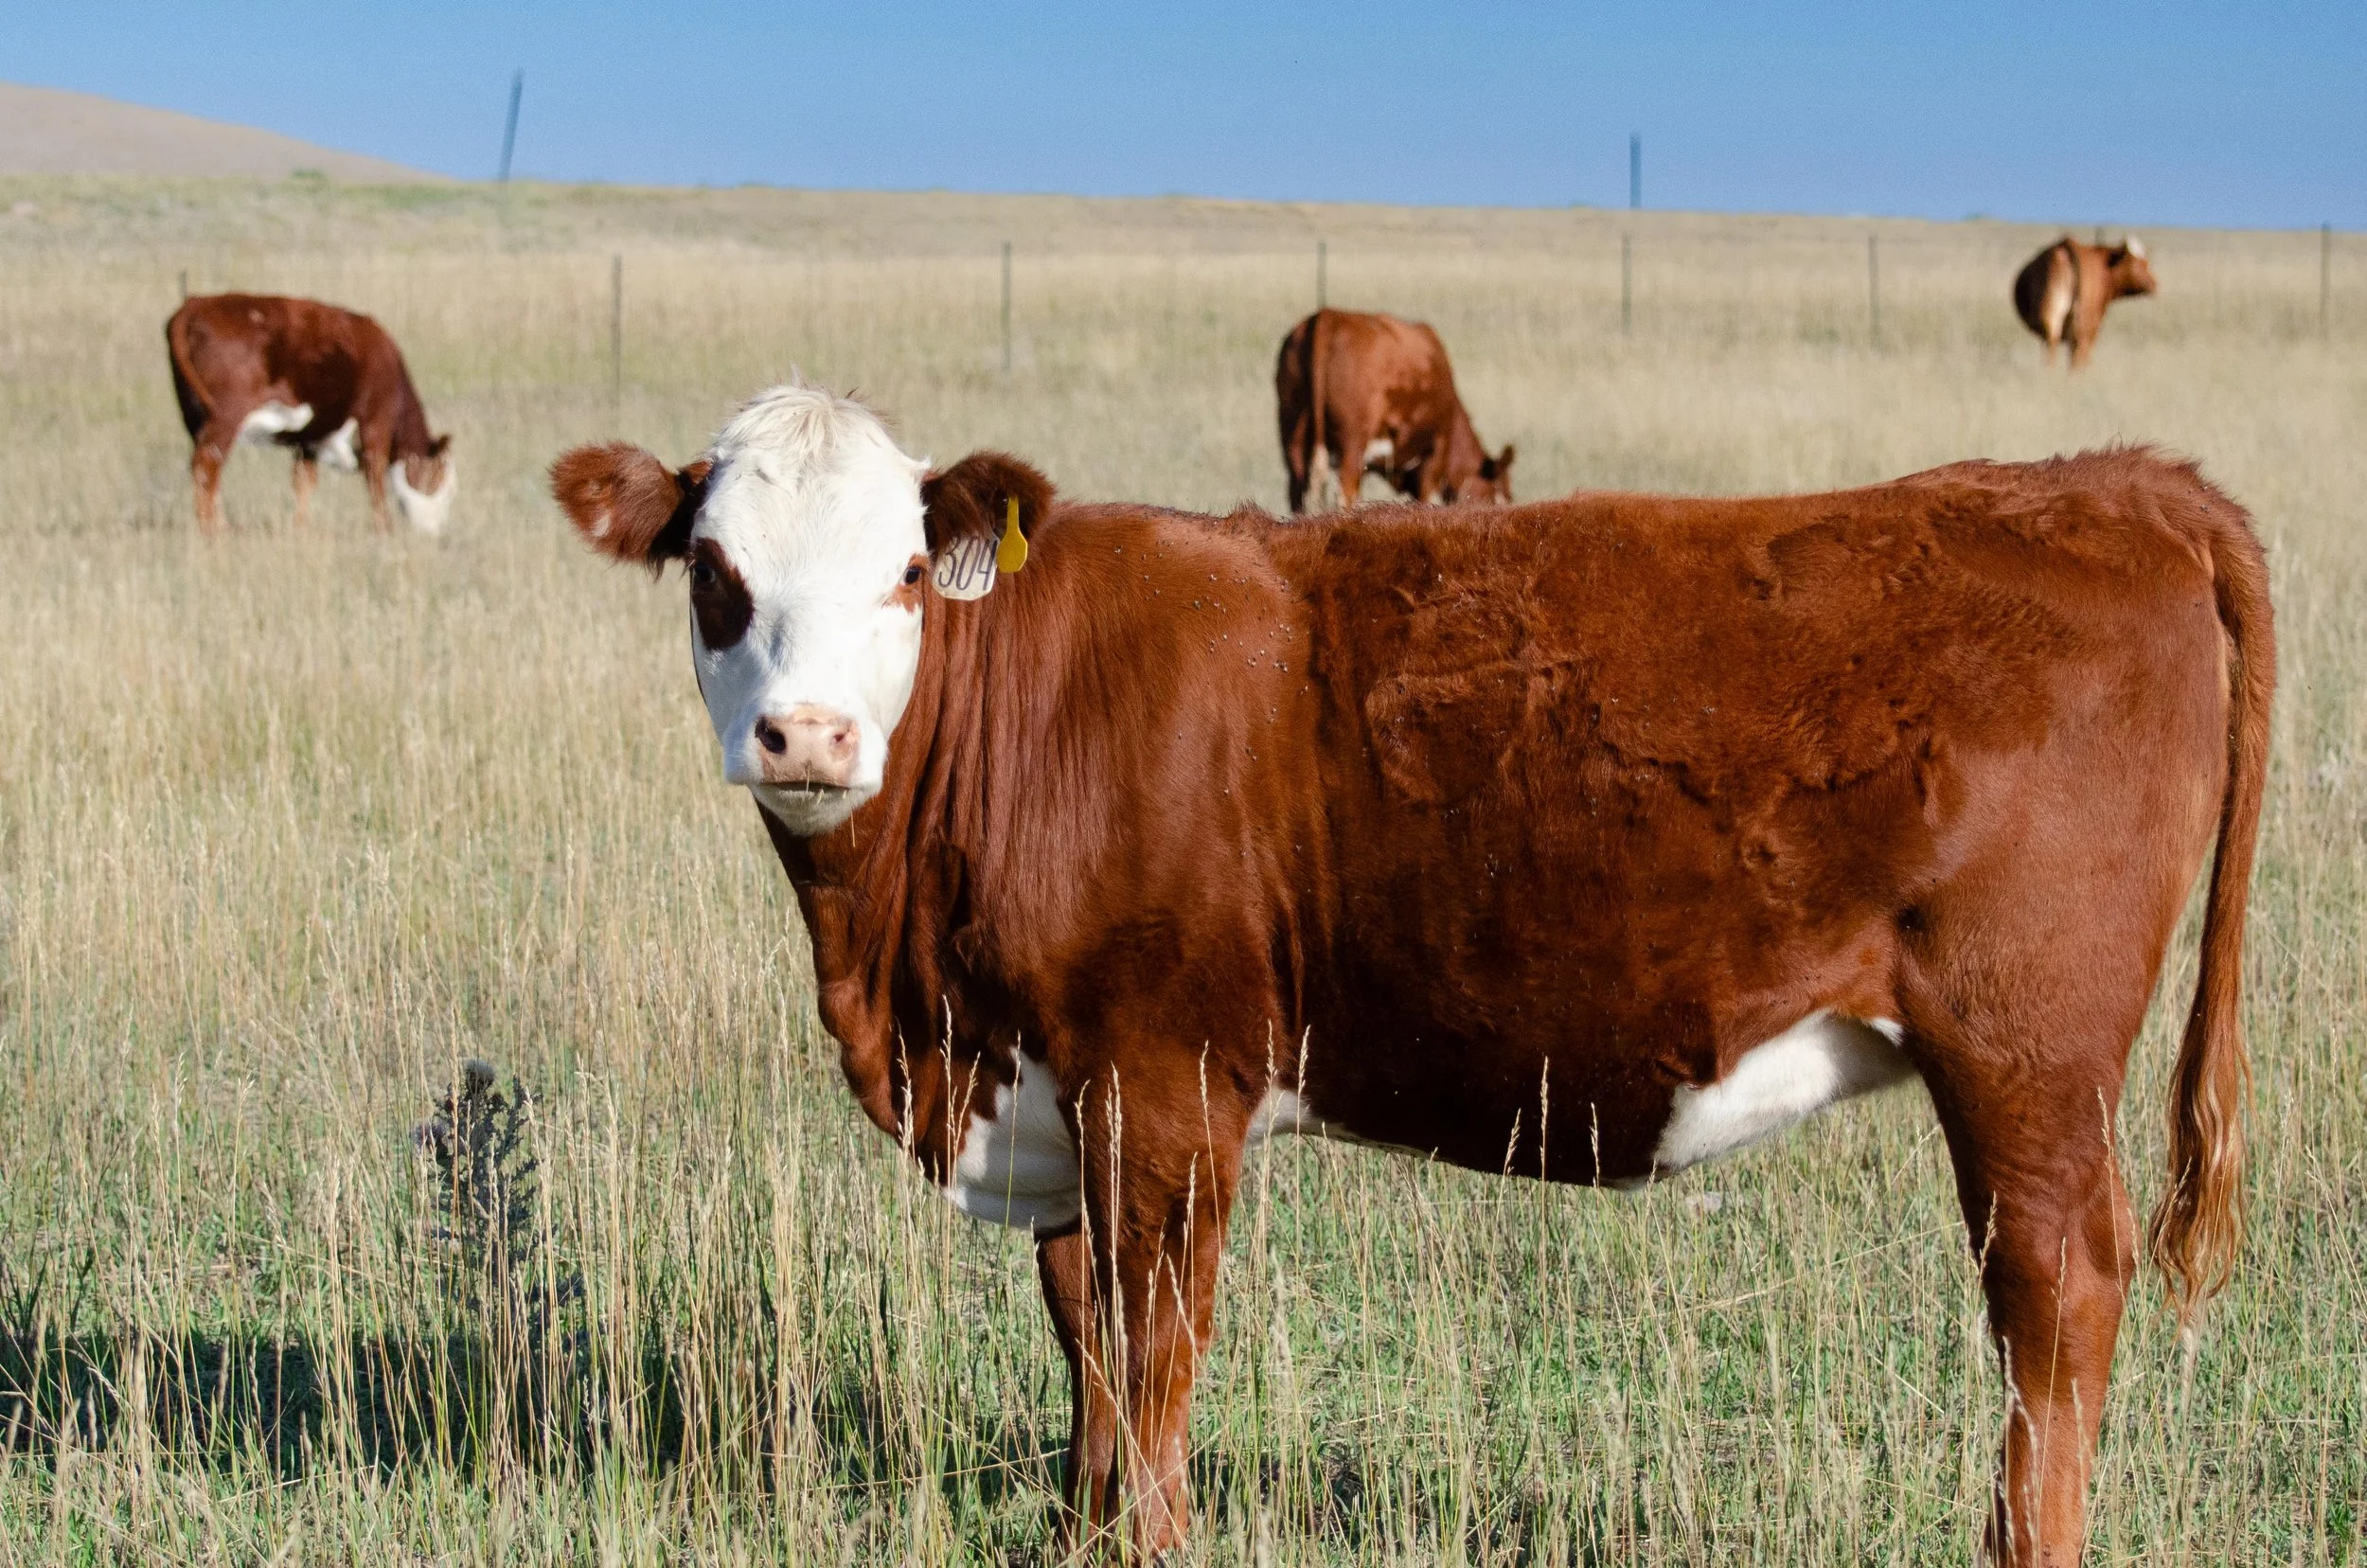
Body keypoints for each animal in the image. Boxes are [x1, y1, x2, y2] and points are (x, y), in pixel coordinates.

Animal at [165, 294, 456, 534]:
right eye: (439, 479)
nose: (438, 529)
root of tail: (197, 303)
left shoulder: (310, 440)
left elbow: (303, 483)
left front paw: (301, 526)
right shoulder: (375, 423)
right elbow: (375, 480)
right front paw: (385, 528)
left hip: (196, 419)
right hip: (226, 418)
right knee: (207, 465)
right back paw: (216, 528)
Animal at [553, 386, 2271, 1567]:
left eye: (908, 570)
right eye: (712, 573)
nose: (809, 738)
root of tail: (2117, 484)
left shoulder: (1165, 1082)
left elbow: (1155, 1336)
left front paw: (1146, 1535)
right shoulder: (1065, 1084)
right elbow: (1081, 1324)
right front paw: (1082, 1527)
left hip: (2026, 1055)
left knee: (2057, 1289)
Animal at [1275, 308, 1513, 513]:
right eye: (1501, 497)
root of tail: (1328, 317)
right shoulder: (1434, 453)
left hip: (1293, 436)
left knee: (1297, 493)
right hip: (1352, 445)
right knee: (1344, 493)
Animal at [2014, 236, 2157, 369]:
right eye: (2140, 263)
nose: (2154, 284)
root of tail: (2066, 246)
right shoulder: (2093, 329)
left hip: (2053, 325)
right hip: (2079, 329)